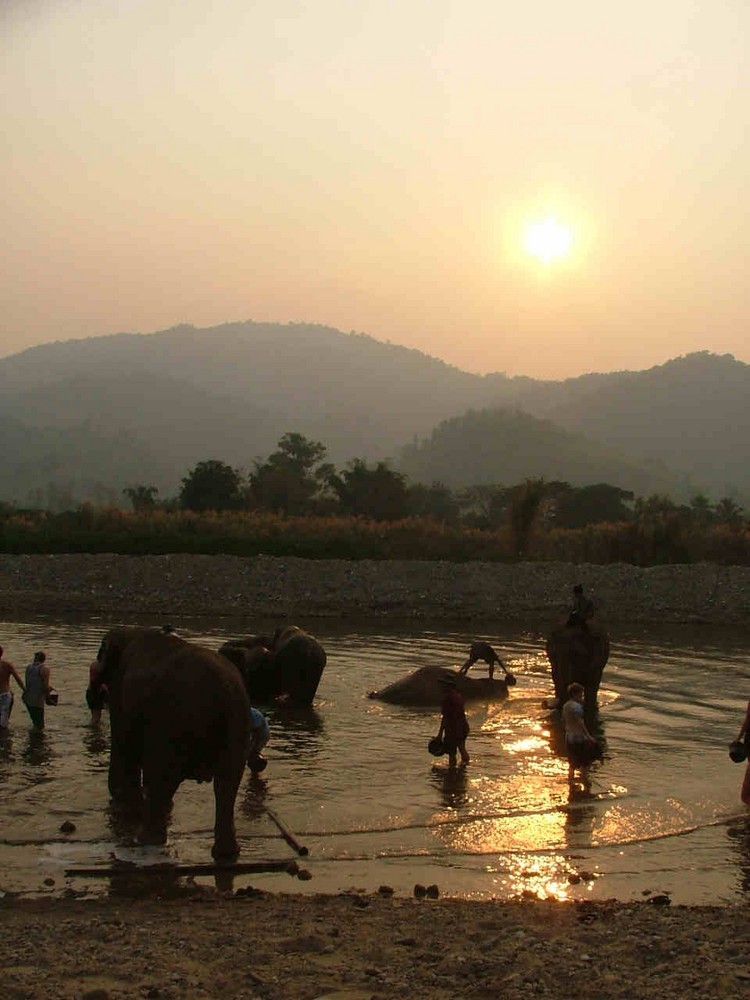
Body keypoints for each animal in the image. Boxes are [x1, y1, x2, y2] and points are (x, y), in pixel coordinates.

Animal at [94, 628, 250, 864]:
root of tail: (223, 690)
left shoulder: (120, 691)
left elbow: (123, 741)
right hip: (236, 728)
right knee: (226, 784)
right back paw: (226, 853)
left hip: (171, 725)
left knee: (162, 777)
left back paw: (144, 840)